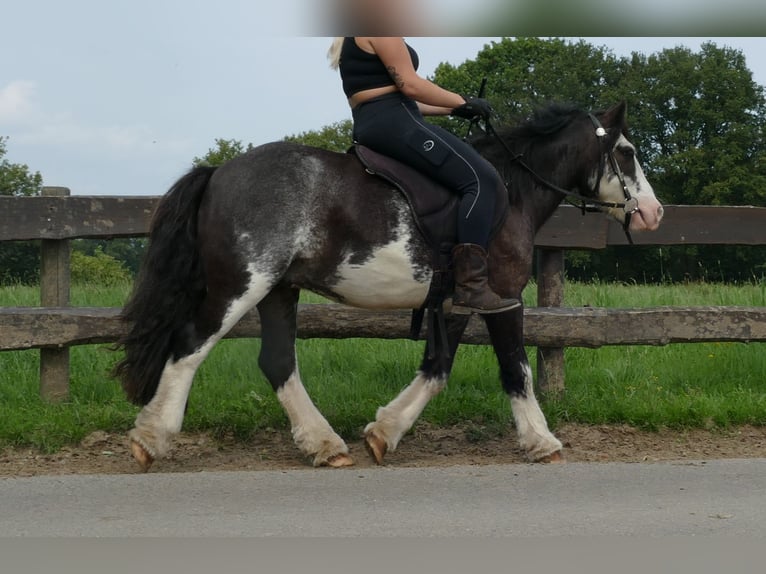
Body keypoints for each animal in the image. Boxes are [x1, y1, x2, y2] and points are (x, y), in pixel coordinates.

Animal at [115, 102, 664, 472]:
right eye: (628, 152)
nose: (654, 213)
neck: (512, 191)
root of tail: (219, 173)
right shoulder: (504, 297)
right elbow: (516, 370)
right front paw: (542, 441)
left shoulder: (458, 298)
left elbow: (437, 368)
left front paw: (383, 433)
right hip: (243, 284)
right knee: (190, 348)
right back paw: (152, 438)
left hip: (278, 291)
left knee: (277, 362)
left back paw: (324, 444)